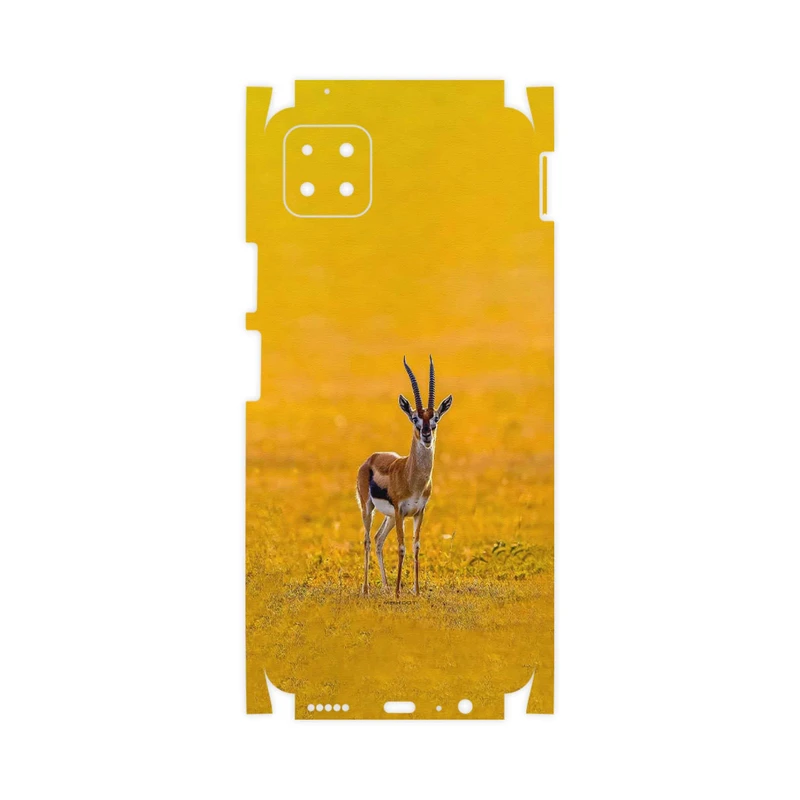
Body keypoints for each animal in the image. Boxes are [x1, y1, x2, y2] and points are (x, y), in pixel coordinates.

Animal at [356, 356, 453, 597]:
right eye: (414, 418)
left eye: (435, 419)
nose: (426, 434)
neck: (413, 479)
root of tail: (371, 458)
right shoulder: (401, 511)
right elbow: (401, 547)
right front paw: (400, 592)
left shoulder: (419, 512)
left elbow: (415, 546)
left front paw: (416, 591)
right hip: (368, 508)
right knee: (367, 540)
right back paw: (367, 589)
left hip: (390, 517)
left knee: (378, 539)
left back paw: (385, 587)